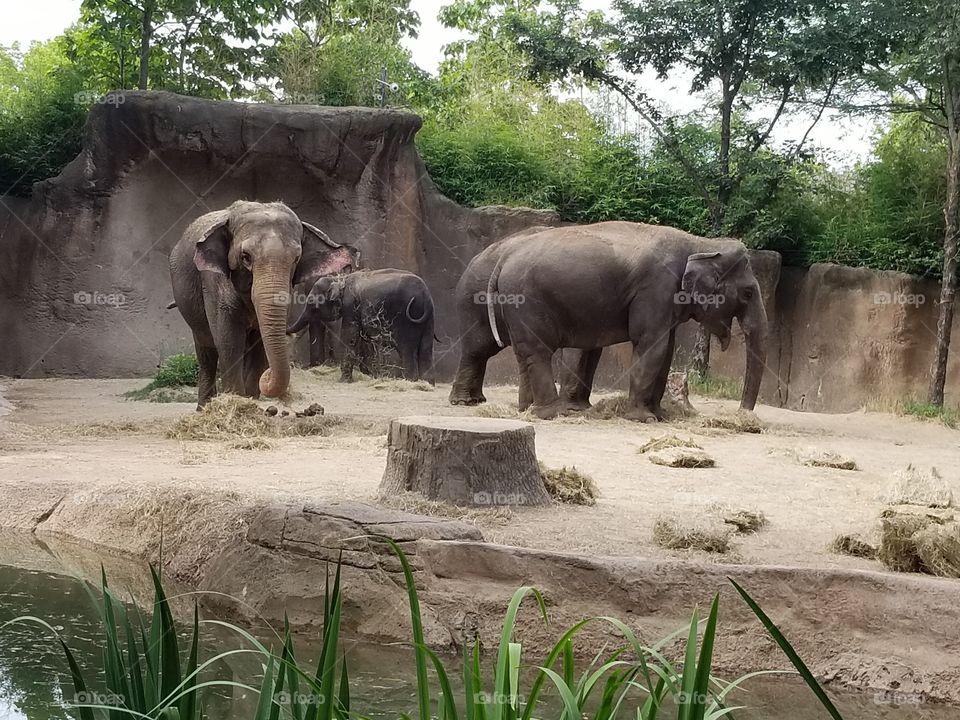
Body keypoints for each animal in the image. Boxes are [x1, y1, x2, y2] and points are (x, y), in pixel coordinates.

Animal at [169, 200, 357, 408]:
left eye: (296, 258)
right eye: (245, 256)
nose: (267, 378)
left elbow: (259, 344)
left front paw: (251, 401)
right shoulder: (212, 280)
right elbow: (229, 340)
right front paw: (237, 401)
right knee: (206, 350)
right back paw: (204, 408)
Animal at [287, 268, 436, 384]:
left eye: (312, 302)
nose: (288, 333)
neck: (341, 278)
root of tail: (426, 295)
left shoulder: (350, 306)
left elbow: (349, 336)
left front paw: (343, 381)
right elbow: (365, 339)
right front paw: (370, 376)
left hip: (408, 319)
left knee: (407, 350)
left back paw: (410, 381)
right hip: (429, 320)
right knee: (426, 350)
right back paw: (428, 384)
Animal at [448, 221, 767, 421]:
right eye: (748, 293)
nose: (742, 414)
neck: (700, 243)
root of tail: (505, 257)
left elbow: (665, 349)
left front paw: (659, 416)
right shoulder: (655, 288)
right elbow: (651, 346)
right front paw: (643, 418)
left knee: (517, 351)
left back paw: (520, 409)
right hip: (522, 298)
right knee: (515, 350)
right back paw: (547, 413)